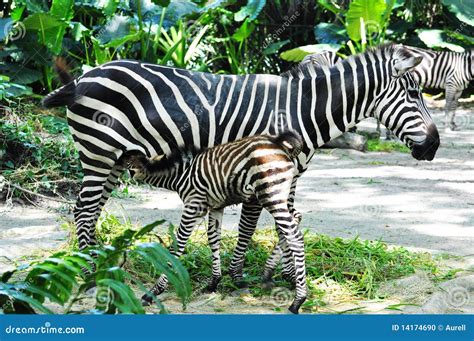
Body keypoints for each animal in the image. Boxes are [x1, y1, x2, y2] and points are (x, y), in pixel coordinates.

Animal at [122, 130, 308, 314]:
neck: (180, 174)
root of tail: (277, 142)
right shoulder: (216, 207)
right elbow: (213, 239)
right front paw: (214, 282)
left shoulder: (193, 206)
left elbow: (178, 245)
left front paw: (153, 292)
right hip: (279, 196)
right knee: (294, 220)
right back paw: (270, 274)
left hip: (270, 194)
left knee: (294, 236)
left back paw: (297, 301)